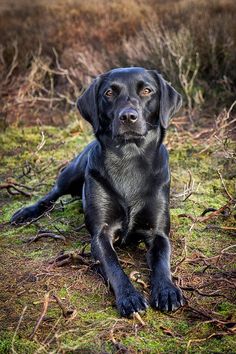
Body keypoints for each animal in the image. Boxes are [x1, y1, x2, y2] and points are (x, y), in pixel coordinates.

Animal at [11, 68, 184, 316]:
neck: (129, 158)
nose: (128, 116)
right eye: (109, 93)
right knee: (52, 194)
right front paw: (129, 297)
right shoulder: (101, 234)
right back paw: (26, 212)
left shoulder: (158, 232)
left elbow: (162, 260)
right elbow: (113, 265)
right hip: (72, 172)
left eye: (147, 90)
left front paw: (167, 290)